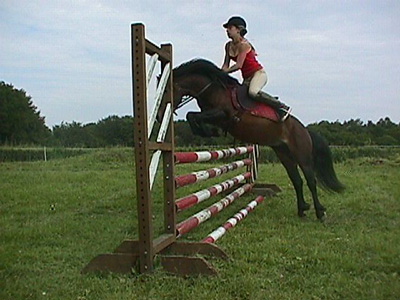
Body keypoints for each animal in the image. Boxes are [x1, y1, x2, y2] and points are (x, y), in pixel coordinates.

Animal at [159, 58, 344, 220]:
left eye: (166, 91)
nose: (160, 115)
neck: (212, 89)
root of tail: (304, 129)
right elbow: (192, 116)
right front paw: (208, 131)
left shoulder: (224, 114)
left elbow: (193, 116)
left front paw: (209, 131)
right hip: (284, 154)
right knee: (297, 180)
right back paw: (302, 209)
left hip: (302, 154)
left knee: (310, 180)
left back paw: (319, 212)